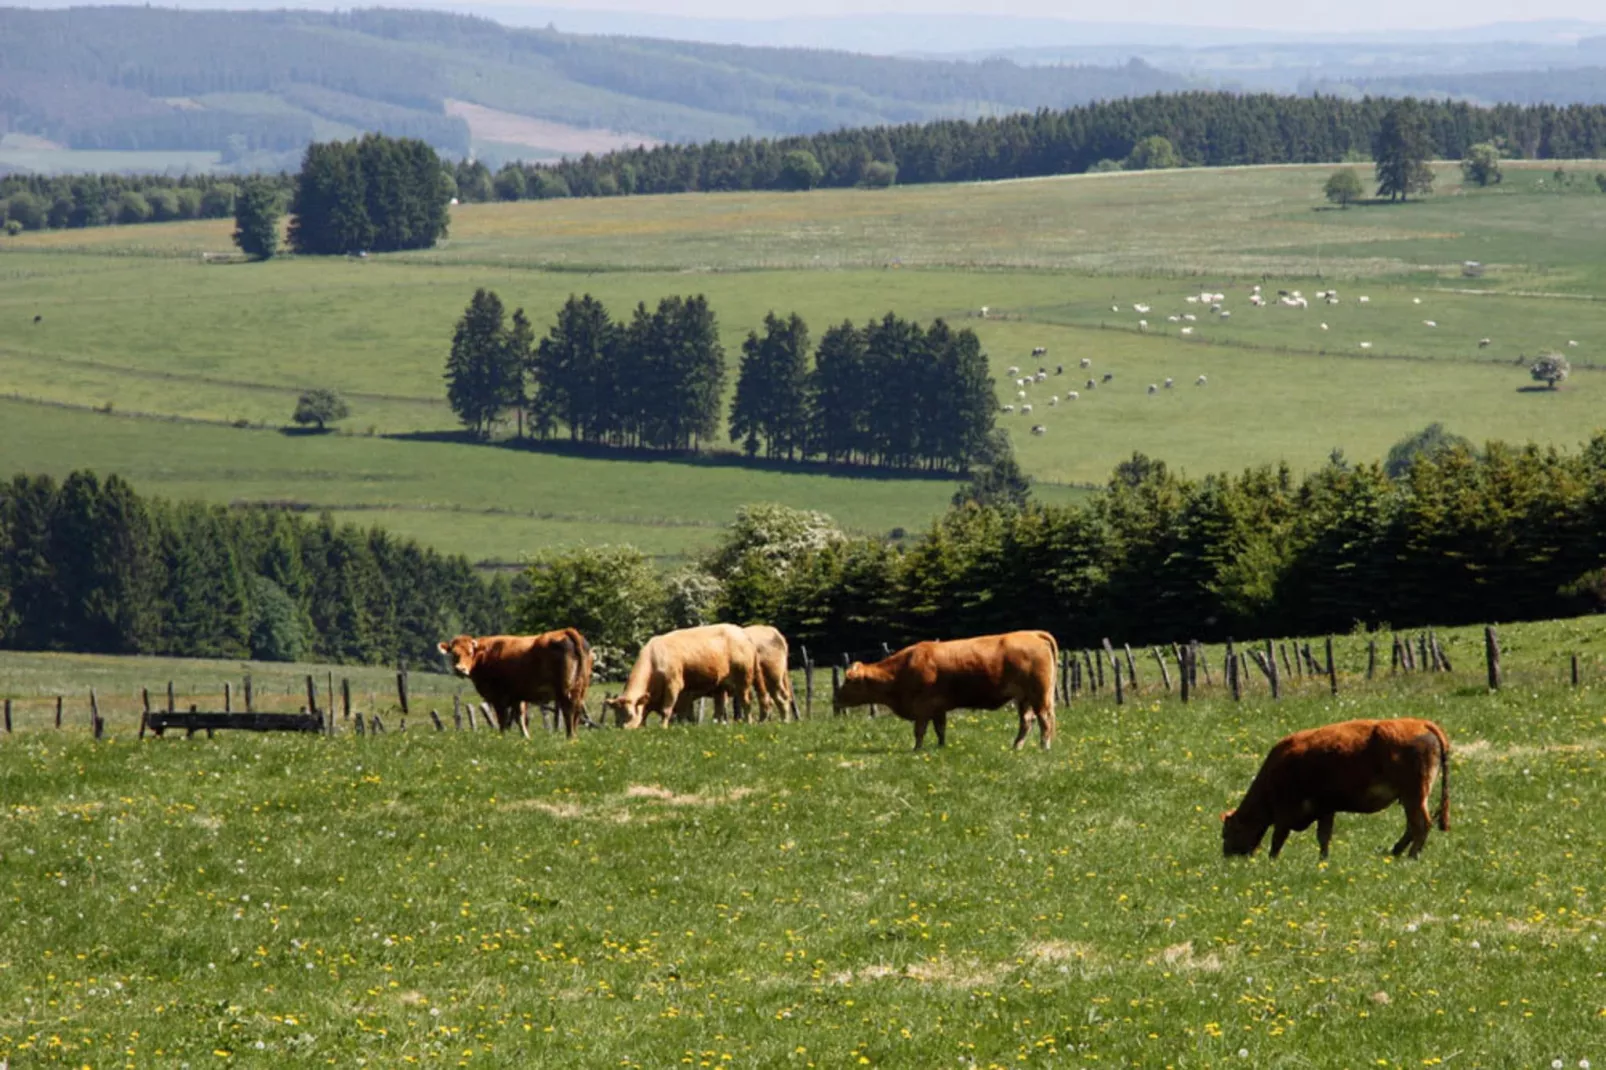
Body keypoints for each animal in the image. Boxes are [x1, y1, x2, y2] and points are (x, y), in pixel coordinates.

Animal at [436, 629, 594, 739]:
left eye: (470, 652)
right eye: (454, 654)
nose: (460, 669)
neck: (484, 655)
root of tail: (565, 631)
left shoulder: (499, 696)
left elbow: (503, 719)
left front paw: (502, 737)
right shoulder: (517, 696)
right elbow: (520, 717)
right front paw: (526, 737)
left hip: (564, 689)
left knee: (568, 710)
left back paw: (570, 736)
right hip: (581, 688)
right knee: (577, 709)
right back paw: (574, 735)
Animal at [603, 620, 761, 729]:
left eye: (630, 715)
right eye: (616, 715)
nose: (623, 730)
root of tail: (742, 632)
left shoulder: (673, 685)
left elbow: (667, 710)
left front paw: (663, 727)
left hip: (743, 680)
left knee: (746, 702)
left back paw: (748, 723)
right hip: (719, 687)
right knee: (719, 708)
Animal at [835, 629, 1059, 745]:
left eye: (848, 682)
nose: (836, 699)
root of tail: (1032, 634)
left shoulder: (923, 707)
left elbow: (920, 731)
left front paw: (917, 750)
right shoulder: (938, 708)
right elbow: (940, 730)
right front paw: (940, 748)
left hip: (1039, 695)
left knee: (1045, 721)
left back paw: (1044, 747)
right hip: (1024, 698)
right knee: (1027, 721)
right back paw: (1016, 748)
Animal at [1220, 716, 1451, 861]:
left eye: (1227, 833)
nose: (1227, 857)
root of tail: (1421, 724)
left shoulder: (1284, 814)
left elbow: (1278, 839)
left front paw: (1272, 860)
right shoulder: (1325, 809)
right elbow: (1323, 837)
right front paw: (1323, 860)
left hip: (1414, 795)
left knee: (1421, 824)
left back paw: (1411, 856)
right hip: (1411, 797)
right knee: (1413, 825)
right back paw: (1396, 852)